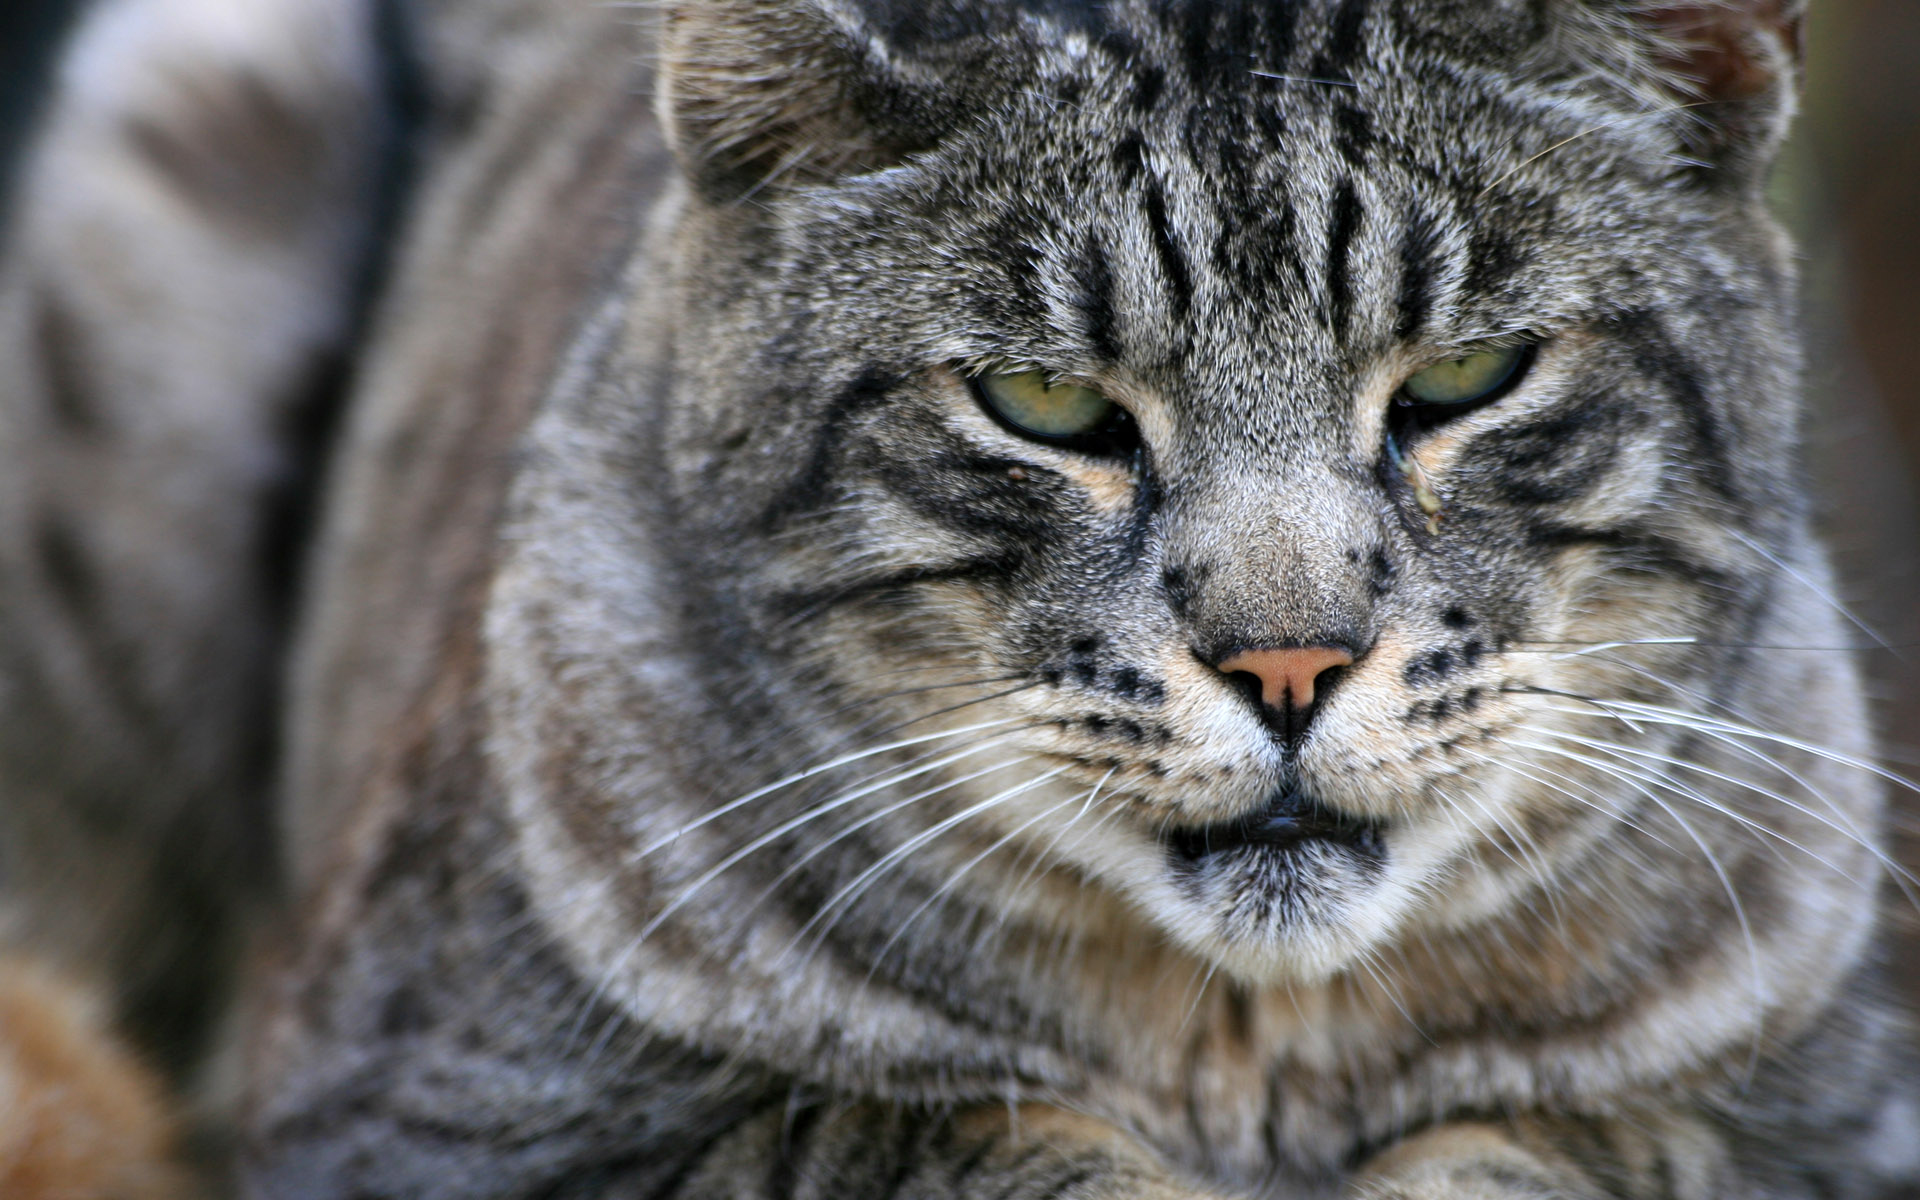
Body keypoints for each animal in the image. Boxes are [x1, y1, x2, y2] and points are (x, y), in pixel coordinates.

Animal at [3, 0, 1920, 1190]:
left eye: (1466, 375)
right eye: (1048, 404)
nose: (1289, 664)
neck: (1247, 1058)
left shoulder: (1825, 1118)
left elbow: (1582, 1146)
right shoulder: (431, 1092)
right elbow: (918, 1137)